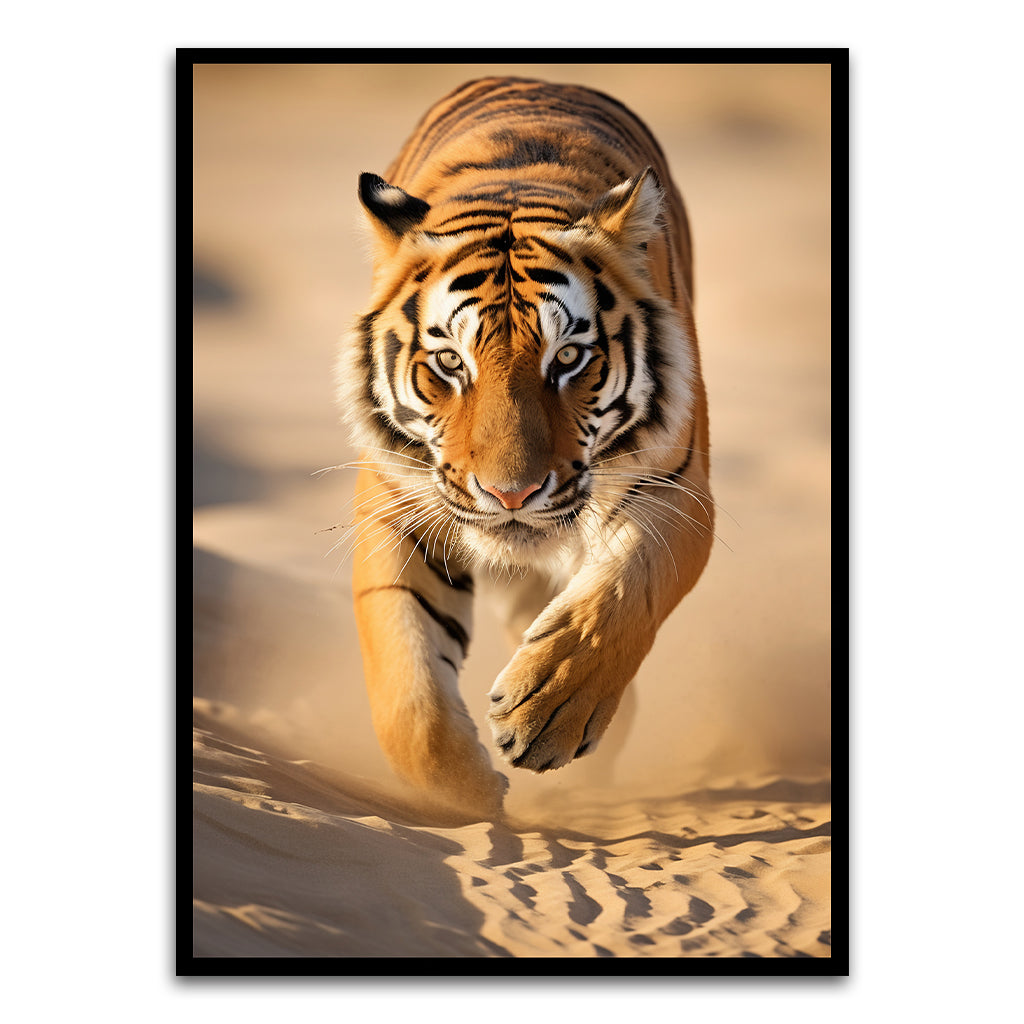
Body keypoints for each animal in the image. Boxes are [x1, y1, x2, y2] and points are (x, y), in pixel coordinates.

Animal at [336, 77, 713, 820]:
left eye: (567, 358)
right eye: (450, 362)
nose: (510, 494)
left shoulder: (678, 488)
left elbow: (621, 595)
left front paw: (549, 712)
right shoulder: (397, 507)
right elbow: (407, 690)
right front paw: (471, 791)